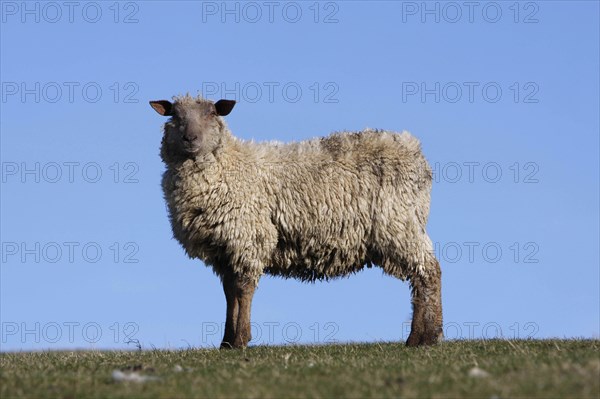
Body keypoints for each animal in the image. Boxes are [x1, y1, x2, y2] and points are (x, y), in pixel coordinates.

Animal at [149, 95, 440, 348]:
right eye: (175, 115)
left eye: (211, 113)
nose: (190, 138)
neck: (227, 164)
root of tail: (415, 151)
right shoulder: (224, 249)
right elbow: (230, 293)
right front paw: (227, 342)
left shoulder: (249, 238)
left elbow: (243, 290)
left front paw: (241, 339)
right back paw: (429, 334)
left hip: (399, 223)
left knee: (428, 273)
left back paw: (421, 337)